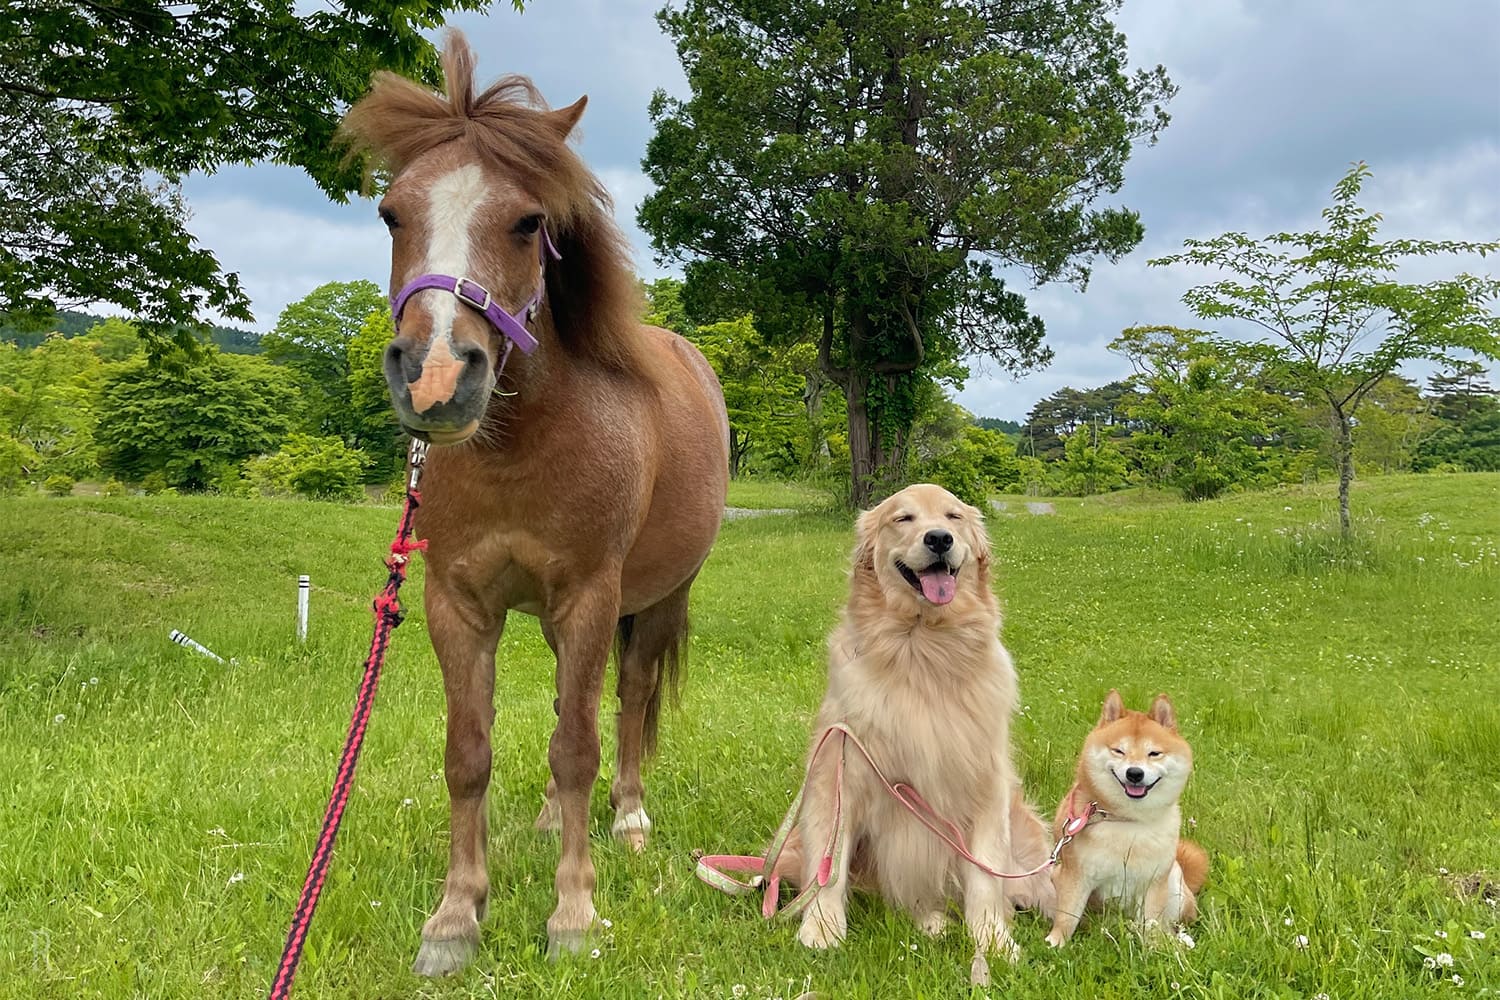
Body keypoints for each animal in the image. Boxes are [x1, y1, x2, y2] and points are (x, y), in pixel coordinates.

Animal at [339, 31, 729, 974]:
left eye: (527, 222)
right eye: (391, 214)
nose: (436, 378)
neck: (523, 447)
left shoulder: (590, 595)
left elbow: (582, 745)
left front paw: (573, 913)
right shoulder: (457, 603)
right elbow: (470, 753)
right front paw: (455, 917)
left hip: (654, 601)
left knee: (623, 703)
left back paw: (626, 818)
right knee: (564, 704)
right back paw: (555, 817)